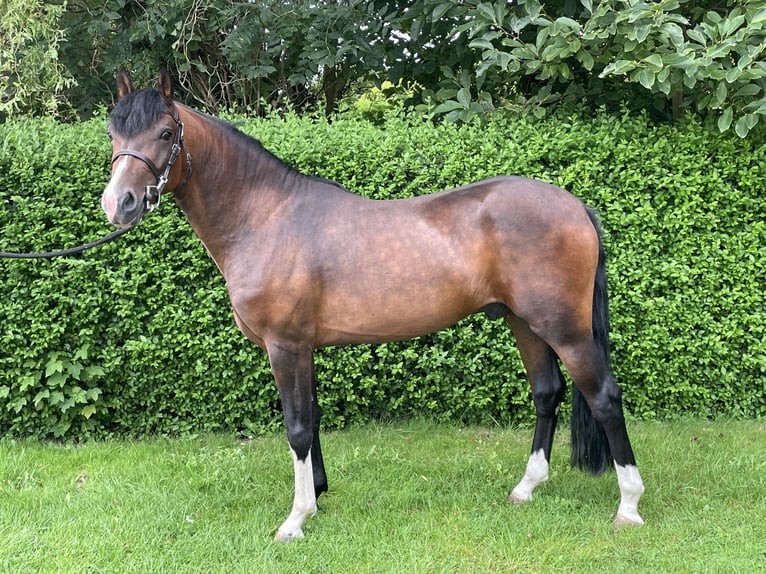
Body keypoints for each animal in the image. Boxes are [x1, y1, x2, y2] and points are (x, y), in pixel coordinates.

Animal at [99, 70, 644, 544]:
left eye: (166, 132)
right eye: (112, 132)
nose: (118, 204)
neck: (266, 216)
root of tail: (575, 207)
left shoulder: (285, 345)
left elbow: (297, 426)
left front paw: (296, 520)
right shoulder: (304, 347)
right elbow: (313, 417)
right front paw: (317, 496)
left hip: (565, 330)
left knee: (604, 397)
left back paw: (629, 506)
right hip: (524, 323)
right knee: (547, 393)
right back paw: (526, 488)